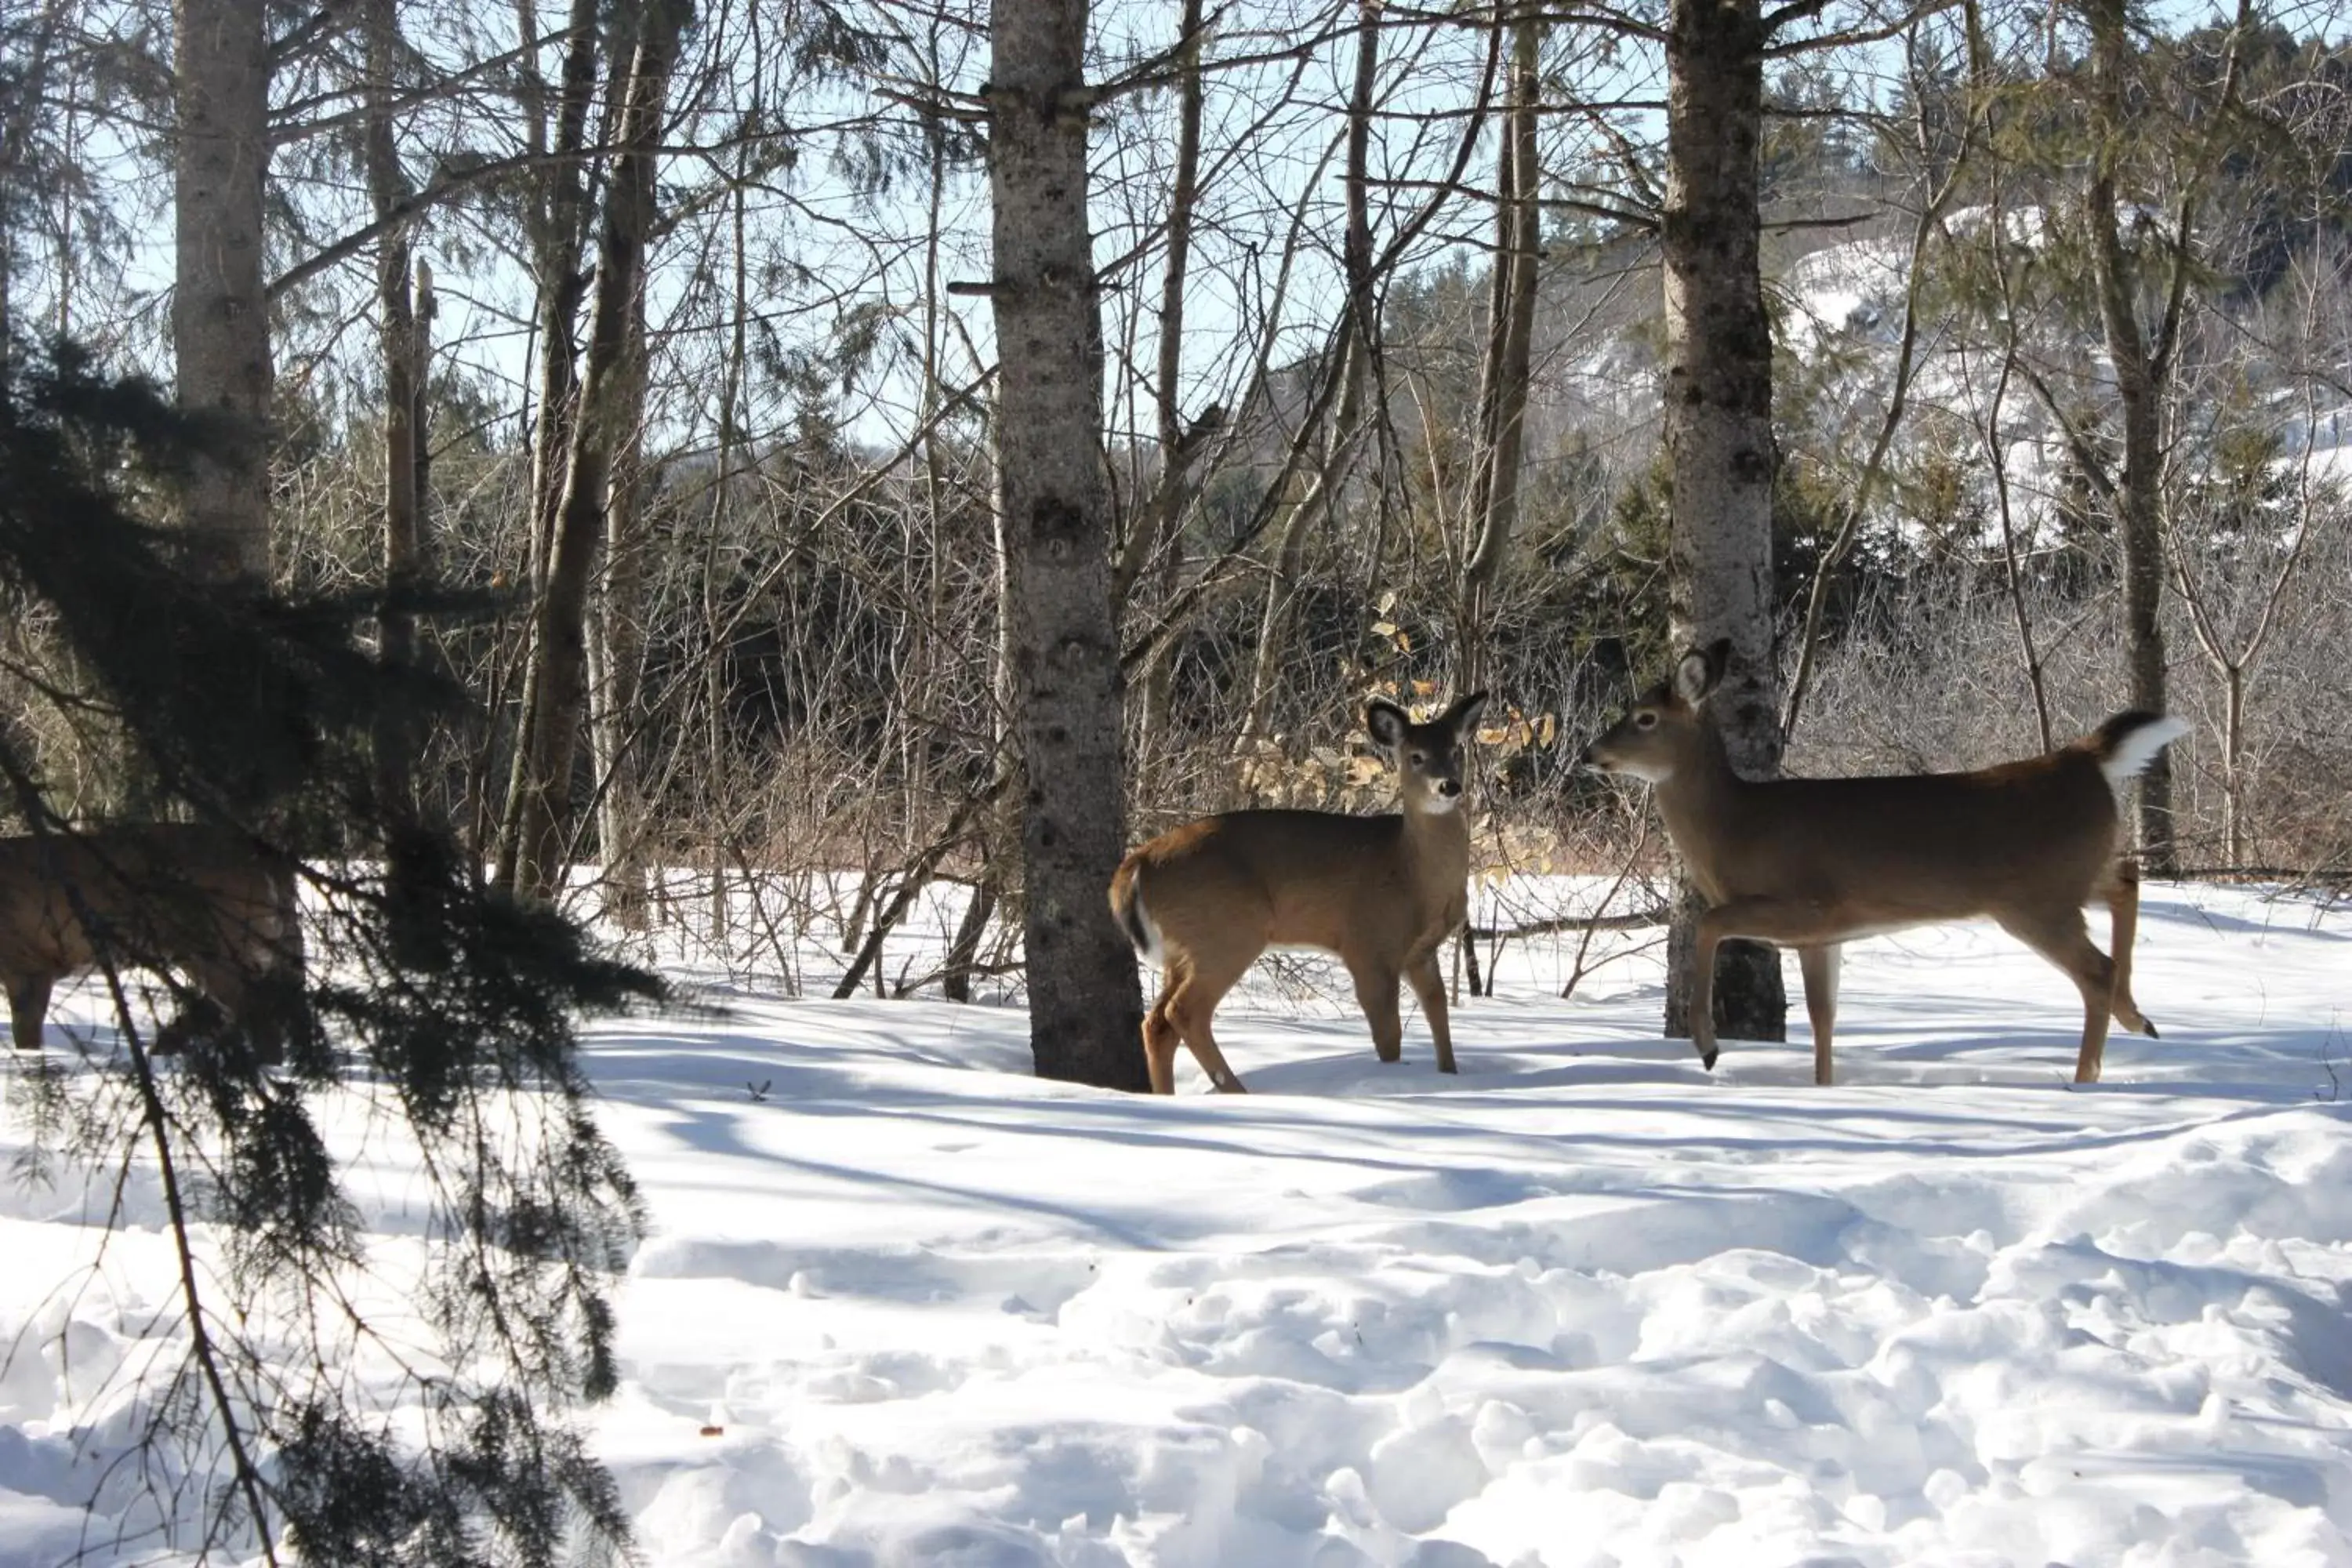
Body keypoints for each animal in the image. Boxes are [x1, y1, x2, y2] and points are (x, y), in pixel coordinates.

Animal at [1105, 691, 1486, 1100]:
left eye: (1456, 750)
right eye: (1415, 756)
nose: (1449, 786)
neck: (1412, 874)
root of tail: (1137, 863)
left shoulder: (1421, 951)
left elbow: (1440, 1016)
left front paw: (1449, 1076)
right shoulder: (1368, 945)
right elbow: (1390, 1036)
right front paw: (1394, 1082)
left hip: (1184, 947)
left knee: (1157, 1023)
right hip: (1226, 932)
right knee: (1184, 1012)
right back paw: (1238, 1092)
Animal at [1581, 644, 2183, 1086]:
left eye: (1644, 718)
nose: (1590, 754)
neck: (1735, 826)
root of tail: (2086, 759)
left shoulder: (1808, 904)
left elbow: (1709, 923)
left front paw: (1708, 1048)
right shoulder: (1824, 936)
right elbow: (1824, 1017)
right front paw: (1824, 1087)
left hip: (2036, 899)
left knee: (2096, 968)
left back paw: (2085, 1080)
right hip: (2073, 876)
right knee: (2127, 883)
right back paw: (2140, 1018)